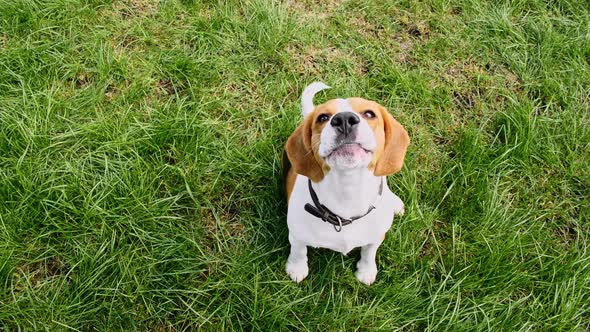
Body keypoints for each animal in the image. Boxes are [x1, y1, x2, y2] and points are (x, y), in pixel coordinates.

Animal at [284, 81, 410, 284]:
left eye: (369, 114)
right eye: (322, 117)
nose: (343, 119)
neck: (347, 192)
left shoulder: (377, 236)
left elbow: (369, 252)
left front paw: (366, 271)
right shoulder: (296, 234)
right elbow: (299, 251)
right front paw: (296, 268)